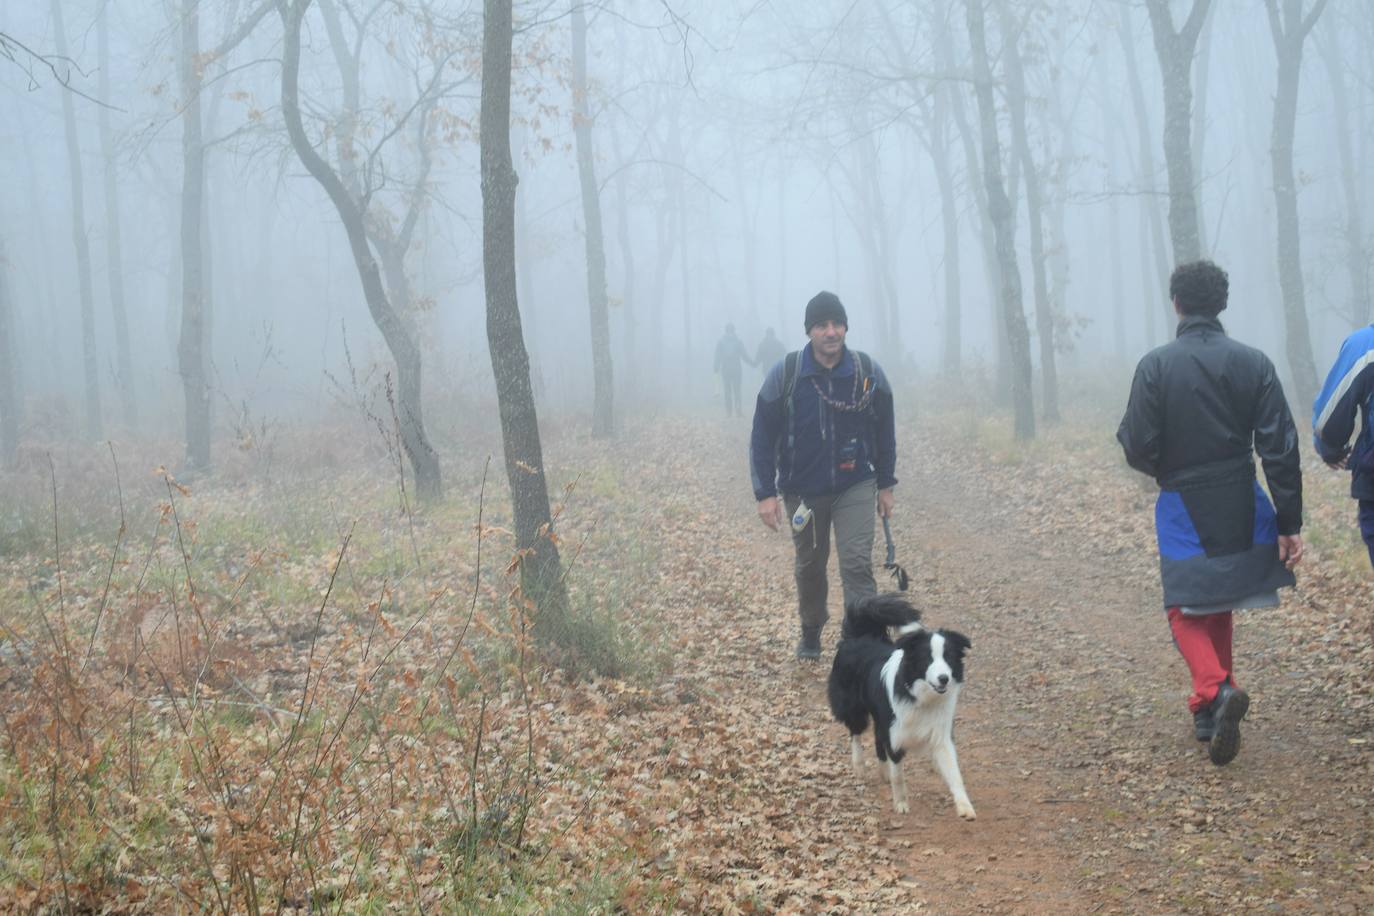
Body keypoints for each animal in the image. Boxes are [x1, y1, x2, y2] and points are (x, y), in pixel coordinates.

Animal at [824, 598, 978, 818]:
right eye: (927, 658)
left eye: (948, 657)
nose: (944, 678)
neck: (921, 698)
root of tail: (857, 636)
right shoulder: (895, 736)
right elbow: (899, 776)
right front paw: (901, 804)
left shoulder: (940, 735)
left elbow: (954, 773)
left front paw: (965, 807)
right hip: (854, 709)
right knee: (855, 734)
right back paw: (859, 767)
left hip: (880, 718)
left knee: (877, 740)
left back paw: (883, 772)